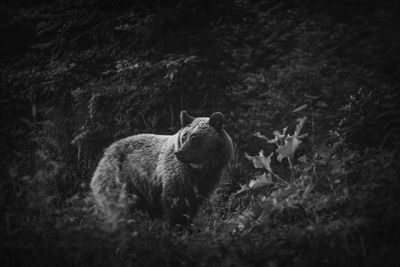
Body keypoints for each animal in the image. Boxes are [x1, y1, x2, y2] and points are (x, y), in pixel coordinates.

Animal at [90, 110, 234, 227]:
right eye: (184, 136)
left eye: (194, 137)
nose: (179, 153)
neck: (201, 167)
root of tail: (107, 151)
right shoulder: (177, 174)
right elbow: (176, 202)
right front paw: (179, 226)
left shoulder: (209, 178)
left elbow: (193, 203)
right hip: (120, 177)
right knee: (117, 205)